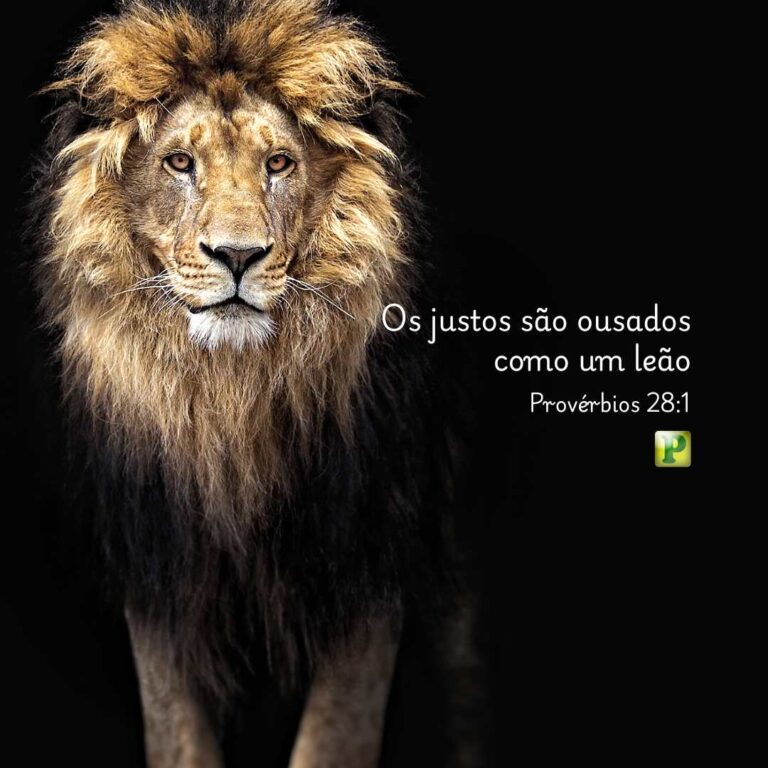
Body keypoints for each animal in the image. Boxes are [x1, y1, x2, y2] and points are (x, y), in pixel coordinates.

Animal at [31, 1, 485, 766]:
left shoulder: (370, 565)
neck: (231, 400)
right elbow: (178, 738)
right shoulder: (159, 578)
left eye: (279, 164)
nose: (237, 256)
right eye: (179, 163)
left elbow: (332, 740)